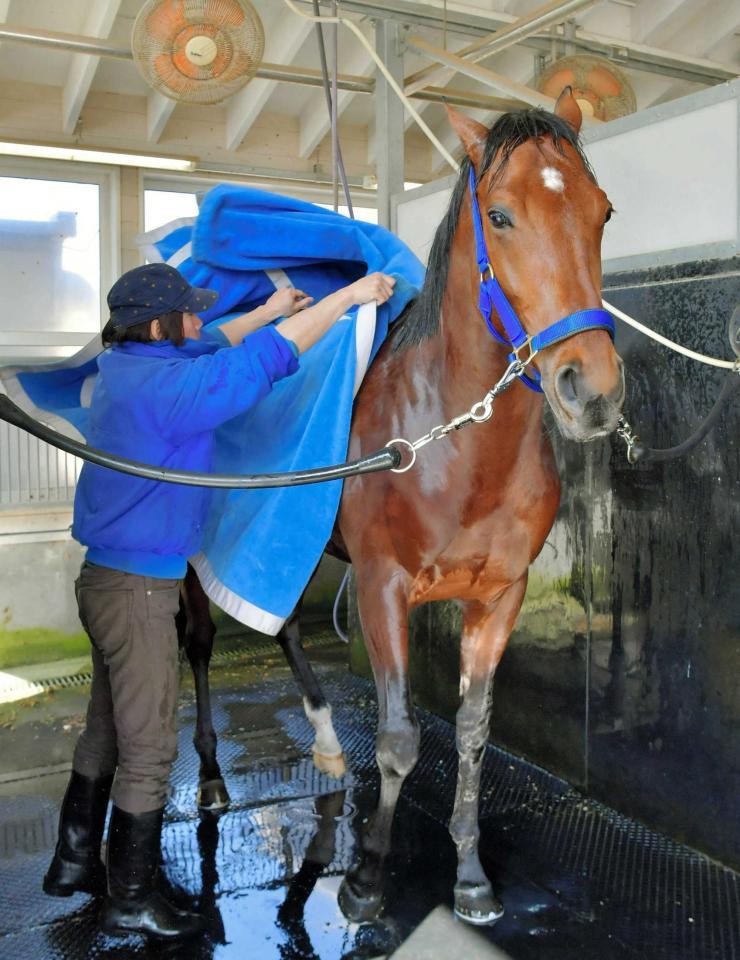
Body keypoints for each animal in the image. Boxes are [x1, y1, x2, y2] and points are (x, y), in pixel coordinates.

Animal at [182, 88, 620, 924]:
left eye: (602, 211)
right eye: (502, 215)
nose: (594, 391)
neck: (452, 439)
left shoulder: (499, 597)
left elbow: (474, 733)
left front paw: (472, 875)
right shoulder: (383, 588)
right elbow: (397, 741)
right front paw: (366, 880)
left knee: (286, 625)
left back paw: (325, 744)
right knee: (197, 643)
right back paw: (214, 778)